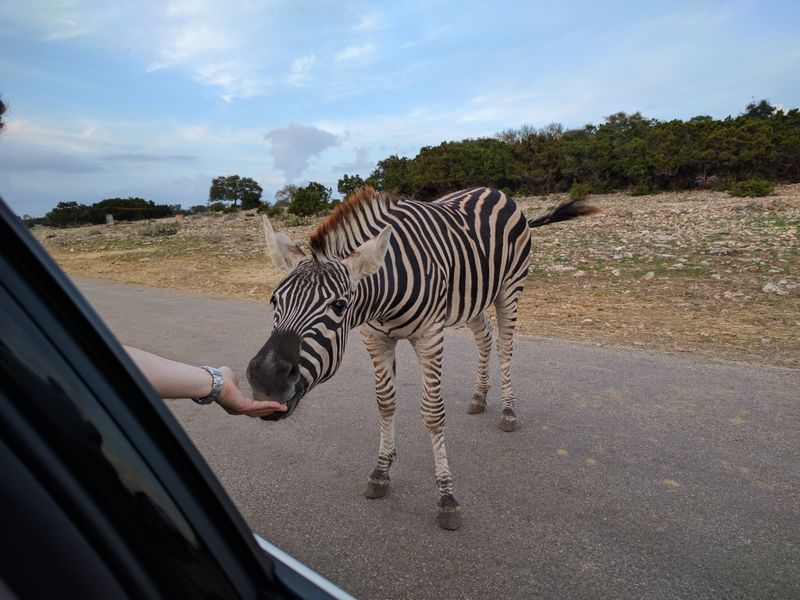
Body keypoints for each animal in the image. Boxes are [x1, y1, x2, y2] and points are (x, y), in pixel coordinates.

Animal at [247, 186, 598, 529]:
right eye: (274, 300)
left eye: (338, 306)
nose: (265, 381)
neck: (383, 295)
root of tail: (495, 191)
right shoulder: (376, 338)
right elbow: (385, 403)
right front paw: (381, 472)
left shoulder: (430, 335)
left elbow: (432, 412)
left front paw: (446, 496)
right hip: (472, 298)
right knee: (484, 339)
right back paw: (479, 397)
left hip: (509, 289)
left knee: (505, 347)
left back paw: (509, 411)